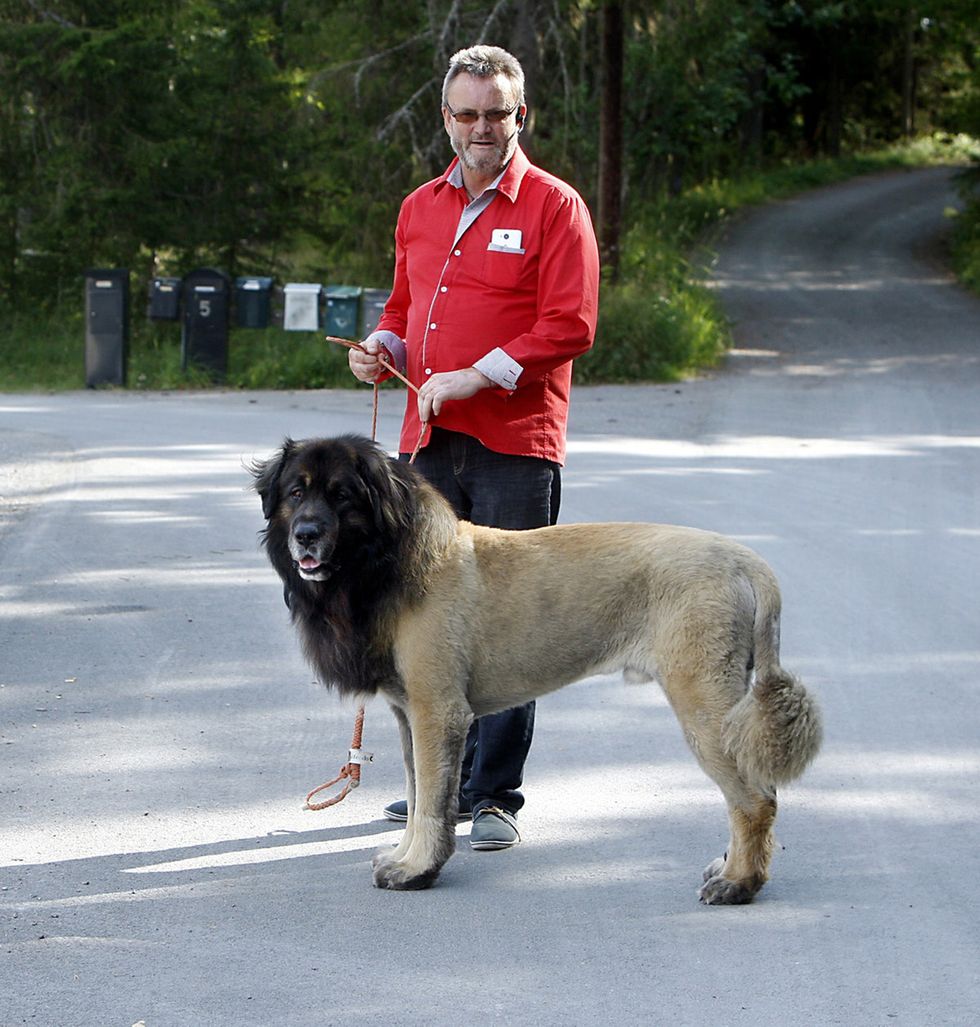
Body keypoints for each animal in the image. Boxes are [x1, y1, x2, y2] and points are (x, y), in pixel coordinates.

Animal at [251, 437, 817, 903]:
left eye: (343, 496)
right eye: (296, 493)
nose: (306, 535)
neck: (395, 557)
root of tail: (745, 560)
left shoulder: (437, 712)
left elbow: (431, 802)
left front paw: (417, 871)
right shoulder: (410, 715)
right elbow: (416, 797)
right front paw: (404, 857)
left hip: (704, 705)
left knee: (754, 799)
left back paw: (738, 883)